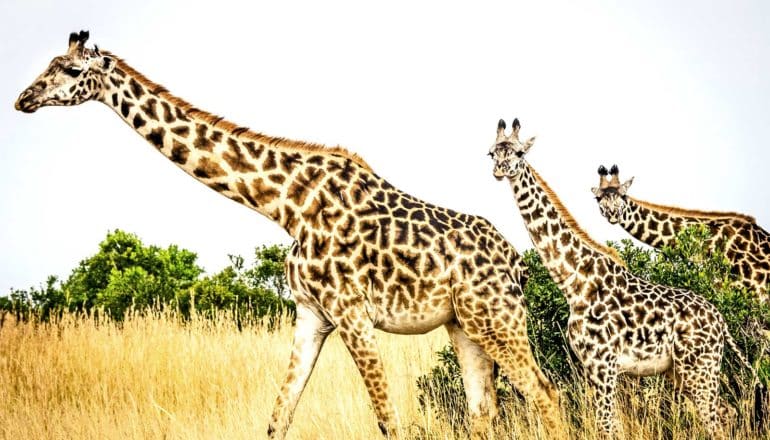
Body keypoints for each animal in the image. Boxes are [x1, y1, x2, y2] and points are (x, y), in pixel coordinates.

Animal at [15, 31, 560, 440]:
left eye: (70, 71)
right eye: (49, 63)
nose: (24, 99)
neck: (285, 205)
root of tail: (519, 263)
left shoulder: (352, 314)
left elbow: (388, 420)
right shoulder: (311, 316)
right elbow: (279, 417)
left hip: (498, 319)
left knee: (545, 393)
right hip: (463, 325)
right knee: (484, 410)